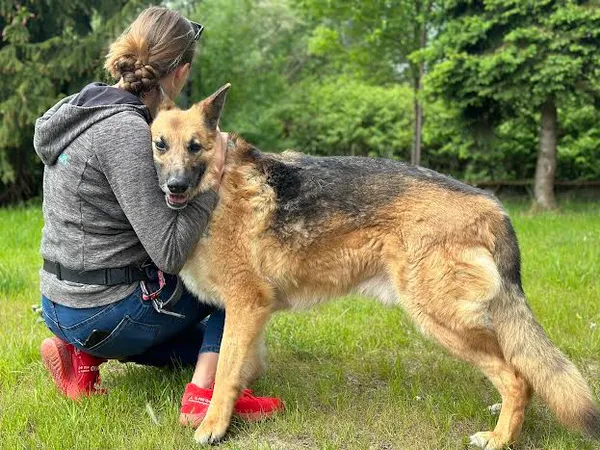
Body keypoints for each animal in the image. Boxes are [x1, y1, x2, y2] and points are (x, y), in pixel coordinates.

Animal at [150, 83, 600, 446]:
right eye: (160, 145)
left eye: (195, 146)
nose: (175, 186)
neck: (217, 186)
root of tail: (493, 205)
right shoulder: (251, 314)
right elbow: (241, 368)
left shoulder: (245, 305)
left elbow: (226, 373)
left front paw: (213, 426)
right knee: (520, 368)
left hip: (440, 319)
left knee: (518, 377)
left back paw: (500, 438)